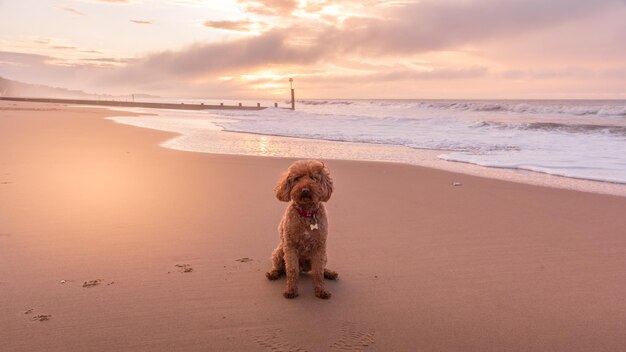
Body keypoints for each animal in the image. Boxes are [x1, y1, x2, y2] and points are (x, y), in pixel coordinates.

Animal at [266, 160, 338, 300]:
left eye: (313, 178)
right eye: (297, 178)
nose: (305, 190)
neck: (306, 213)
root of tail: (303, 268)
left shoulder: (319, 248)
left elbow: (318, 272)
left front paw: (321, 291)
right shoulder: (290, 247)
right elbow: (292, 270)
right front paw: (291, 290)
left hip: (325, 255)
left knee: (321, 269)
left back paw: (330, 273)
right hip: (279, 251)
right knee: (280, 267)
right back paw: (273, 273)